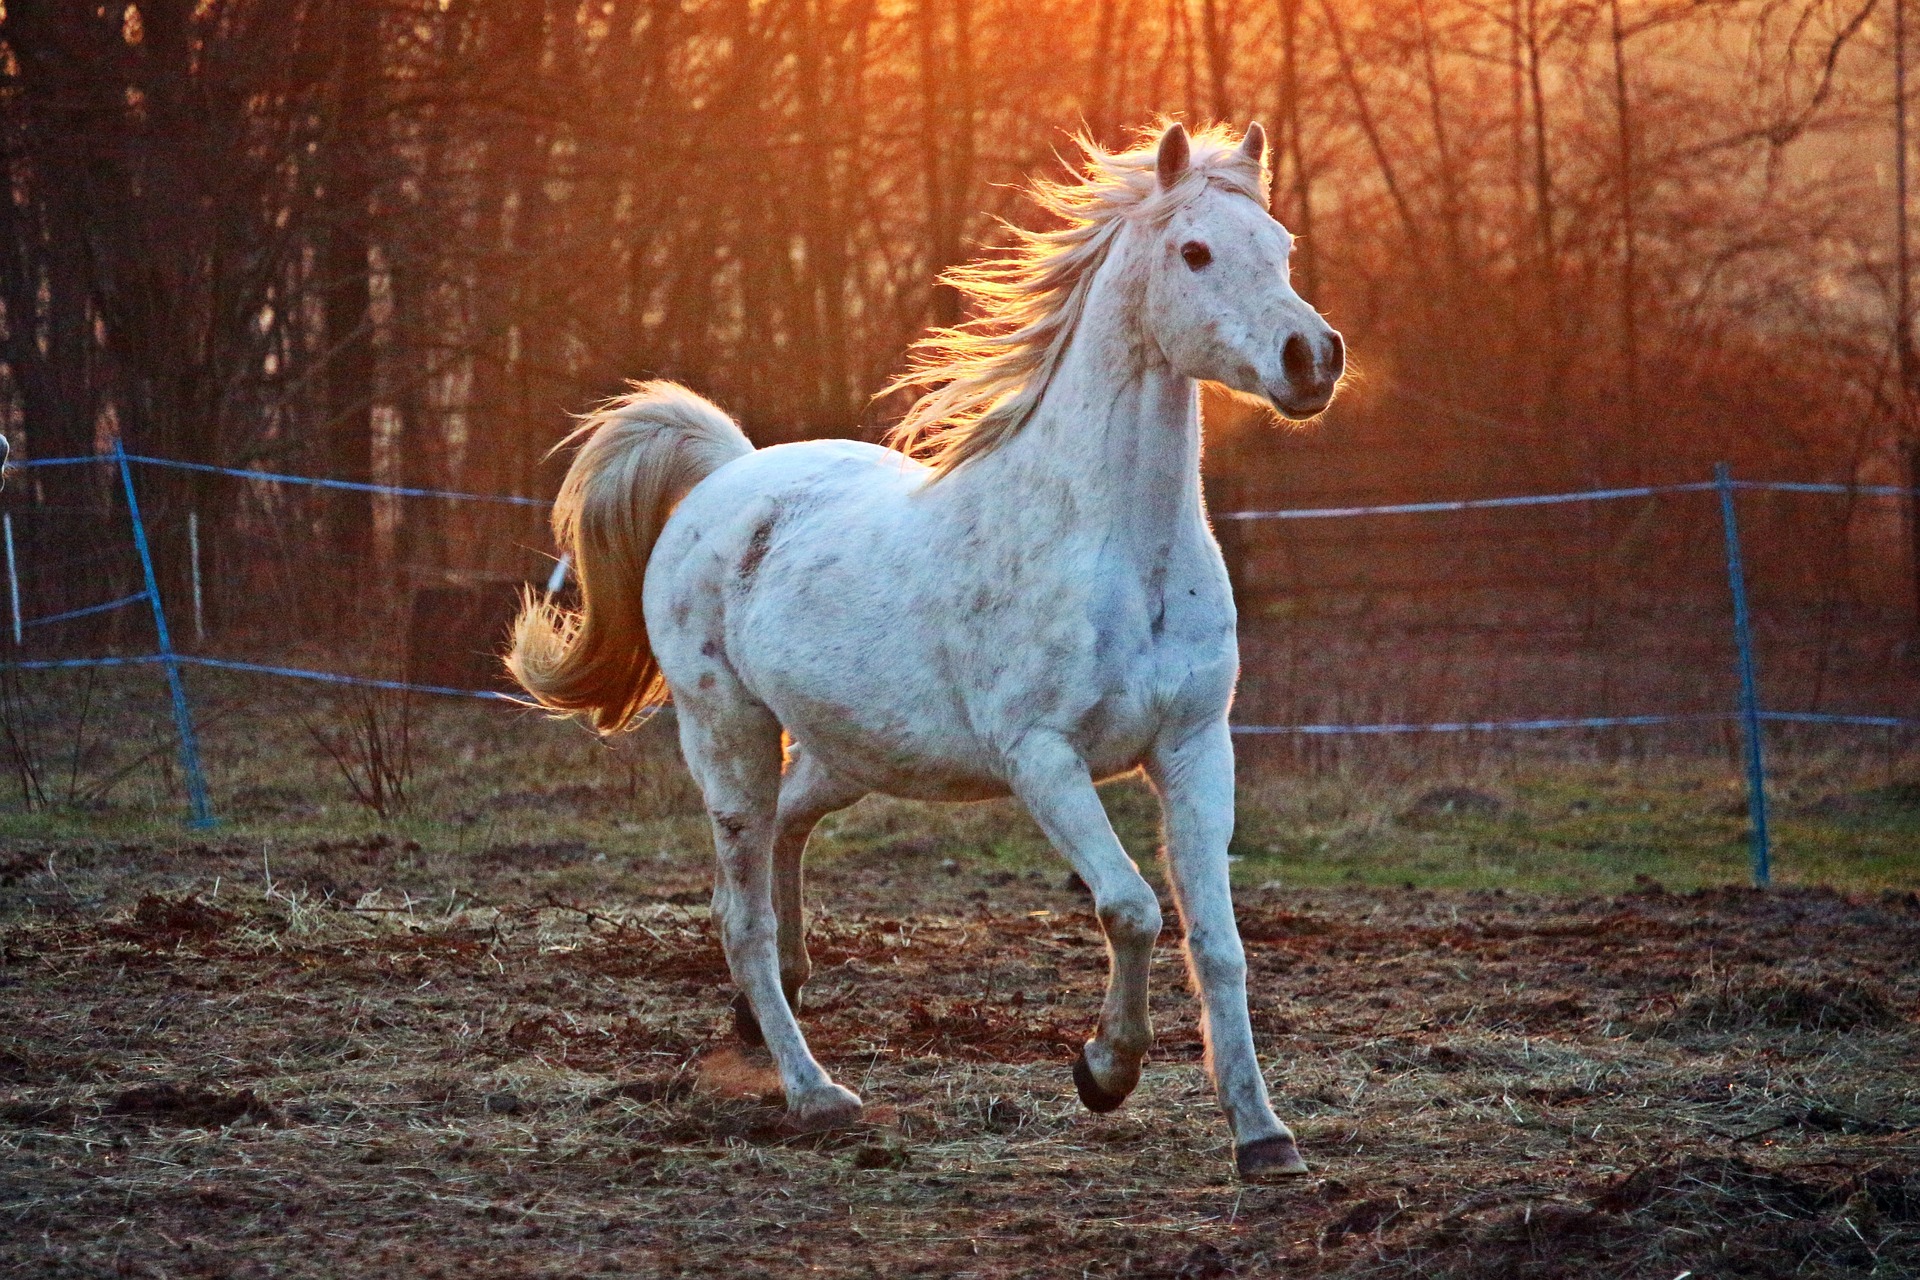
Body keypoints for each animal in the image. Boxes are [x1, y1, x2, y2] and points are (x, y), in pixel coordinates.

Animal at [514, 122, 1351, 1182]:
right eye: (1194, 252)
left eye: (1280, 247)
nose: (1311, 358)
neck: (1119, 549)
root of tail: (725, 477)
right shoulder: (1042, 758)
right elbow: (1132, 908)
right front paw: (1103, 1072)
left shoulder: (1197, 746)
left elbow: (1219, 941)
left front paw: (1263, 1137)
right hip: (728, 736)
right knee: (739, 913)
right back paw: (815, 1092)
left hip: (850, 751)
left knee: (786, 835)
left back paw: (768, 1008)